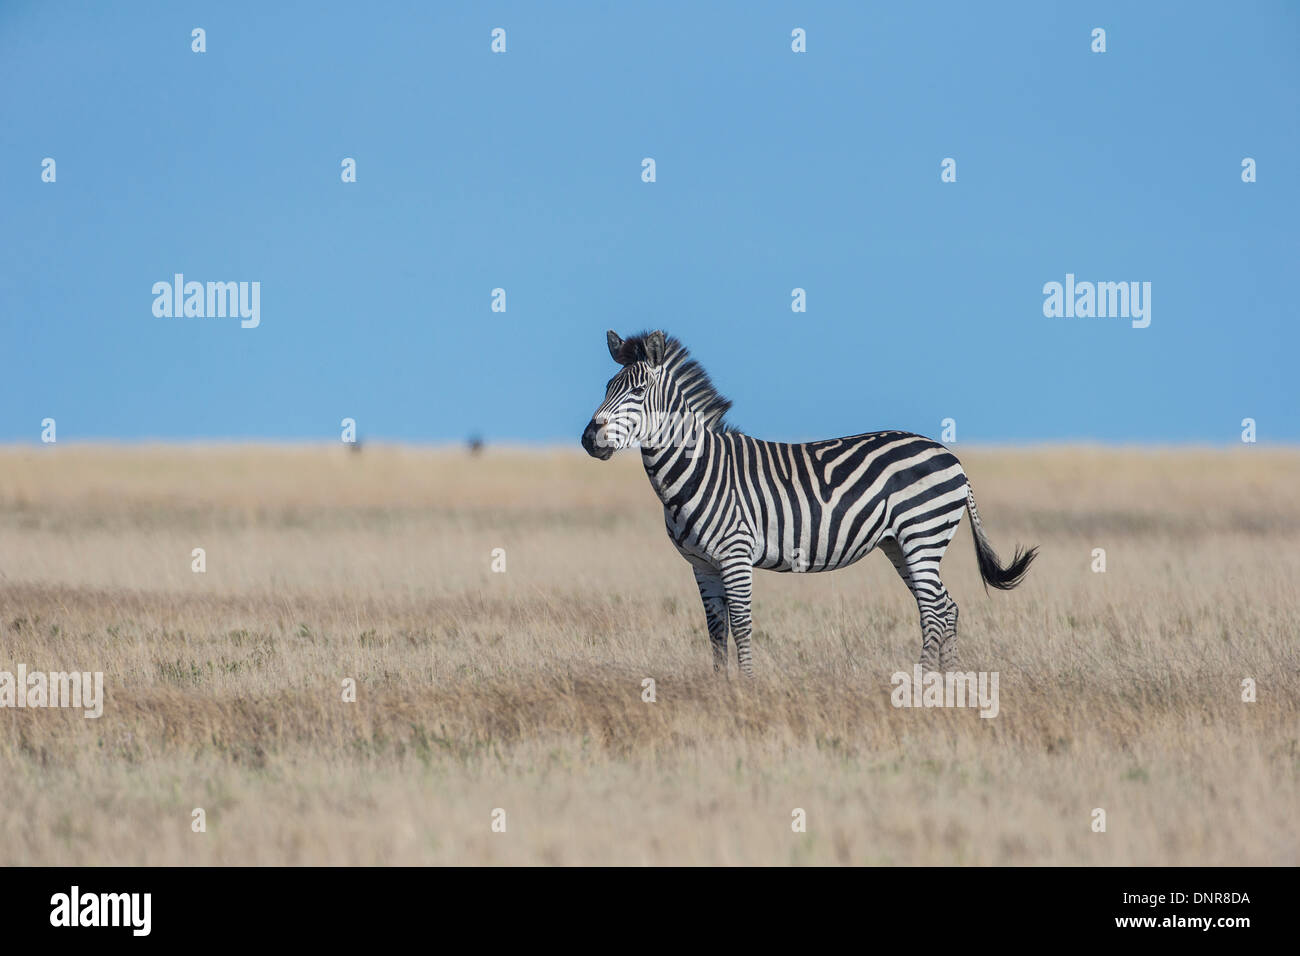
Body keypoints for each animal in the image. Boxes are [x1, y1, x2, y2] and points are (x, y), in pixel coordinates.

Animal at [579, 332, 1034, 676]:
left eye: (638, 391)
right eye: (606, 388)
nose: (588, 439)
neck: (699, 468)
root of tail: (951, 456)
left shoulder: (735, 555)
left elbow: (741, 625)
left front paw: (746, 688)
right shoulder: (701, 564)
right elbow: (715, 630)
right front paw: (720, 687)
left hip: (922, 536)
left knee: (935, 612)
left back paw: (922, 682)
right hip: (900, 545)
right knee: (946, 607)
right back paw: (947, 682)